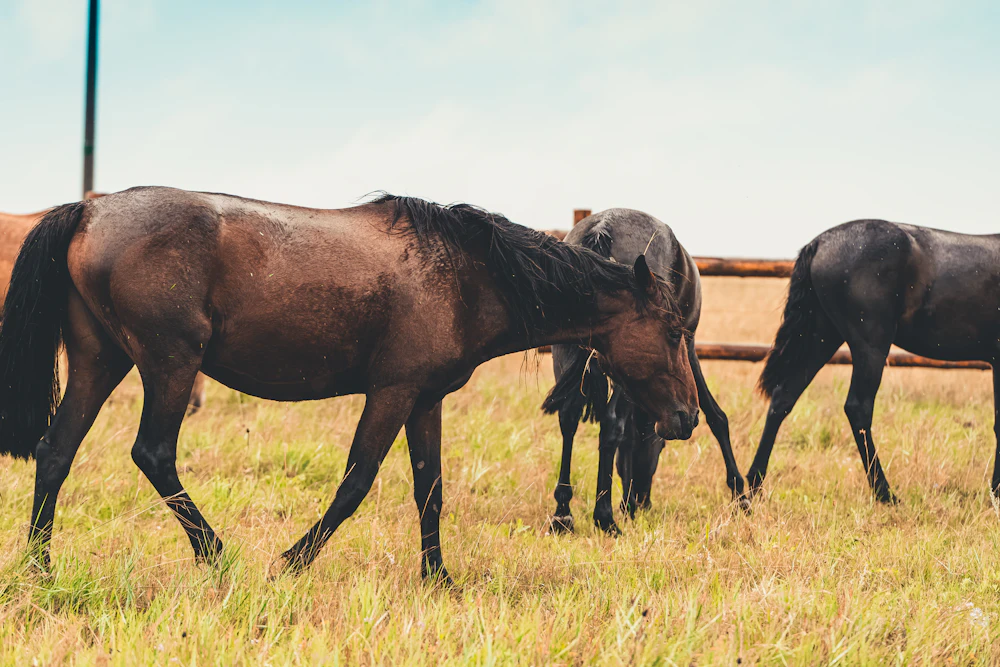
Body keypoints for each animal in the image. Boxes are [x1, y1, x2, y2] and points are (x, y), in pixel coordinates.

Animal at [542, 209, 746, 535]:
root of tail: (604, 227)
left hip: (568, 353)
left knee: (568, 416)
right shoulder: (687, 347)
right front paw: (740, 492)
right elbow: (716, 416)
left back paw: (563, 513)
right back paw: (604, 516)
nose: (639, 500)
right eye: (659, 448)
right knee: (611, 424)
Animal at [748, 219, 1000, 504]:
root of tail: (820, 242)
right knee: (858, 408)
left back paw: (753, 486)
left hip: (820, 338)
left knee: (783, 398)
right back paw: (885, 493)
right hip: (871, 347)